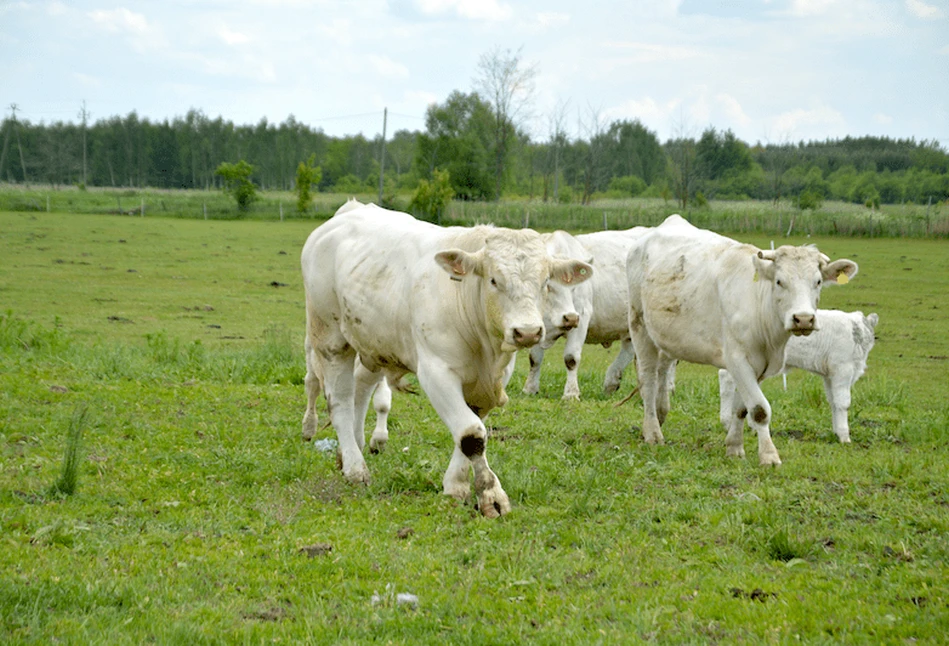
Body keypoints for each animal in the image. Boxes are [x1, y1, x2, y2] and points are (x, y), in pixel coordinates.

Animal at [300, 201, 588, 516]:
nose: (527, 332)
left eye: (545, 282)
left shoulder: (491, 379)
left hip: (373, 341)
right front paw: (491, 494)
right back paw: (355, 467)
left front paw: (455, 485)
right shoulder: (436, 372)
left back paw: (349, 450)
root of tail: (348, 211)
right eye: (493, 280)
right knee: (339, 400)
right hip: (330, 338)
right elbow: (471, 433)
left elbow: (471, 430)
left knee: (361, 388)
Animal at [520, 227, 652, 400]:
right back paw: (613, 382)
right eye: (547, 285)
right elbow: (534, 358)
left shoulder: (582, 317)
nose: (570, 318)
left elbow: (571, 358)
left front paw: (571, 394)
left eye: (574, 287)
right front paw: (530, 388)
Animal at [624, 216, 856, 466]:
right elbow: (760, 410)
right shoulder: (737, 358)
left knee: (662, 372)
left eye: (818, 281)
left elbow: (742, 408)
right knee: (648, 379)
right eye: (779, 281)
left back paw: (660, 414)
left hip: (667, 337)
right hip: (639, 324)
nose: (803, 319)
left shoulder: (759, 366)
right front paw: (769, 455)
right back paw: (653, 432)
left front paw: (734, 447)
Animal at [720, 310, 880, 446]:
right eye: (858, 333)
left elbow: (833, 402)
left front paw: (836, 432)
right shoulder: (842, 370)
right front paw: (844, 437)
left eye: (869, 333)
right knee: (726, 381)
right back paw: (727, 421)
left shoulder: (830, 376)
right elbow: (843, 403)